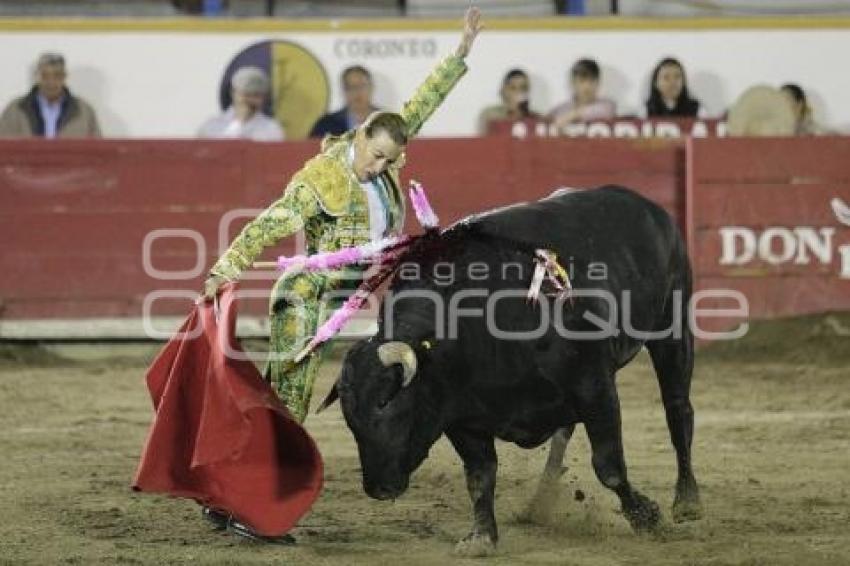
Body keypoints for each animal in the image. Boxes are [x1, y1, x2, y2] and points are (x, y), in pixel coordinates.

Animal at [322, 185, 700, 556]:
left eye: (385, 403)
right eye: (349, 417)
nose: (378, 488)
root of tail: (648, 206)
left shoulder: (594, 387)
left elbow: (608, 466)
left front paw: (645, 516)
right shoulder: (461, 417)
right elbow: (480, 475)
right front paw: (481, 536)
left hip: (672, 328)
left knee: (677, 410)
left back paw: (687, 501)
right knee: (564, 432)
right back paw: (541, 498)